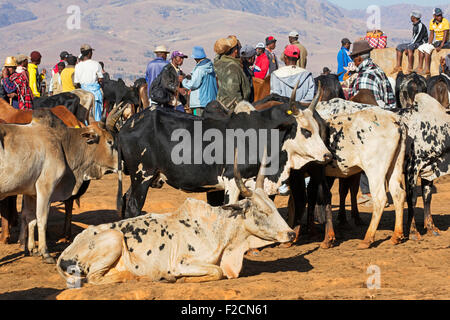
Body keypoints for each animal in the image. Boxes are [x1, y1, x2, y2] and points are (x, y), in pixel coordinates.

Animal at [0, 107, 125, 262]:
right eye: (110, 142)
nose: (121, 164)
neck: (62, 144)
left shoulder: (31, 192)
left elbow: (30, 218)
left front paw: (31, 249)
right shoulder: (45, 188)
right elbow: (42, 219)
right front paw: (45, 253)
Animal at [56, 160, 296, 284]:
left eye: (274, 206)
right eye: (262, 211)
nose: (291, 234)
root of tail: (64, 254)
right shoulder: (182, 262)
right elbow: (216, 272)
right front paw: (179, 279)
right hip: (114, 238)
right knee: (95, 278)